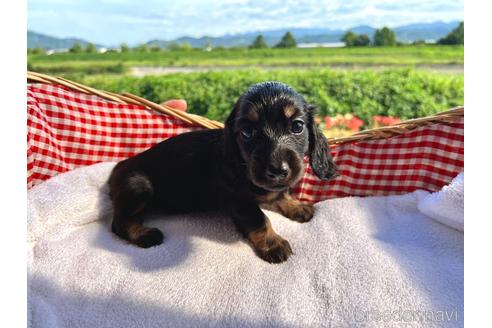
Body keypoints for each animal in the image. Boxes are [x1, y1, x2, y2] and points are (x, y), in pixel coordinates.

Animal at [108, 82, 338, 264]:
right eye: (247, 132)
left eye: (297, 126)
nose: (277, 170)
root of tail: (119, 166)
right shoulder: (238, 201)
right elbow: (260, 219)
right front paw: (273, 244)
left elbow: (281, 194)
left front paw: (297, 206)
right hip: (139, 185)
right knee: (118, 223)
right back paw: (145, 234)